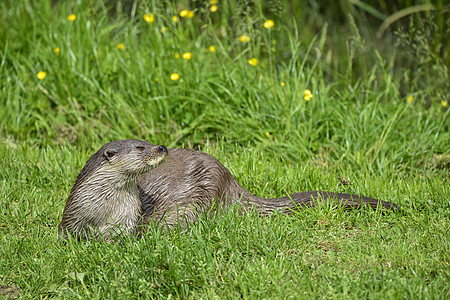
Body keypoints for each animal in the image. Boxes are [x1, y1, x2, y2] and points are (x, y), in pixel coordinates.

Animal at [58, 139, 400, 240]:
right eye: (140, 147)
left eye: (146, 139)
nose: (161, 146)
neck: (102, 210)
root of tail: (229, 177)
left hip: (204, 190)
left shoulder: (128, 222)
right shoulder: (71, 219)